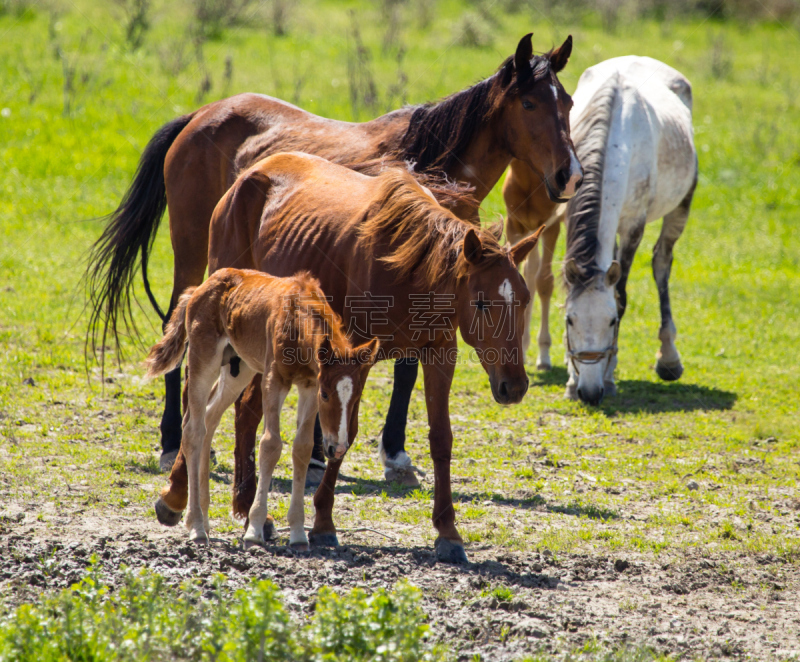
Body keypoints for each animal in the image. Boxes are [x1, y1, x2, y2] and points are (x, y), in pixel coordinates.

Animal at [86, 35, 580, 482]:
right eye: (530, 104)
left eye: (570, 103)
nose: (568, 175)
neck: (434, 163)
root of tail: (197, 116)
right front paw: (332, 454)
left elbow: (405, 369)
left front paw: (394, 452)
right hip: (191, 252)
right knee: (180, 323)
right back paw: (173, 441)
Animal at [146, 268, 382, 548]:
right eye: (326, 395)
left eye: (356, 397)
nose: (338, 447)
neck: (297, 317)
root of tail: (200, 289)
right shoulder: (274, 380)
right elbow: (270, 445)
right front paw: (255, 529)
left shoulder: (309, 384)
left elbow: (302, 448)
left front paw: (298, 533)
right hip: (204, 358)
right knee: (193, 430)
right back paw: (196, 526)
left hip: (239, 367)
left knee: (209, 419)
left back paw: (204, 517)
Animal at [560, 58, 696, 404]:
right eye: (570, 319)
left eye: (611, 322)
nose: (589, 392)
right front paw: (570, 379)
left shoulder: (634, 225)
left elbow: (620, 295)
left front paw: (609, 378)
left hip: (681, 205)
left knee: (662, 263)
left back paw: (669, 359)